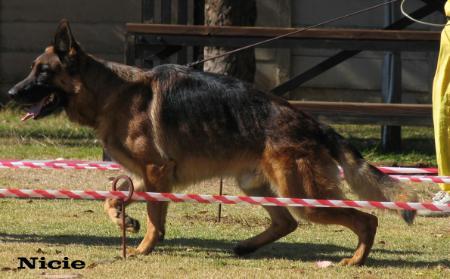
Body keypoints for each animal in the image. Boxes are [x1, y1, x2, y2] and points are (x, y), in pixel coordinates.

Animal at [7, 20, 414, 266]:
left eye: (43, 72)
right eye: (32, 69)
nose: (11, 93)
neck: (111, 93)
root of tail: (317, 125)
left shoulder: (156, 172)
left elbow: (155, 216)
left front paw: (143, 247)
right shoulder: (149, 176)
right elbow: (114, 198)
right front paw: (125, 220)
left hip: (304, 196)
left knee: (366, 218)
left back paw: (356, 260)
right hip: (259, 186)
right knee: (287, 223)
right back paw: (248, 246)